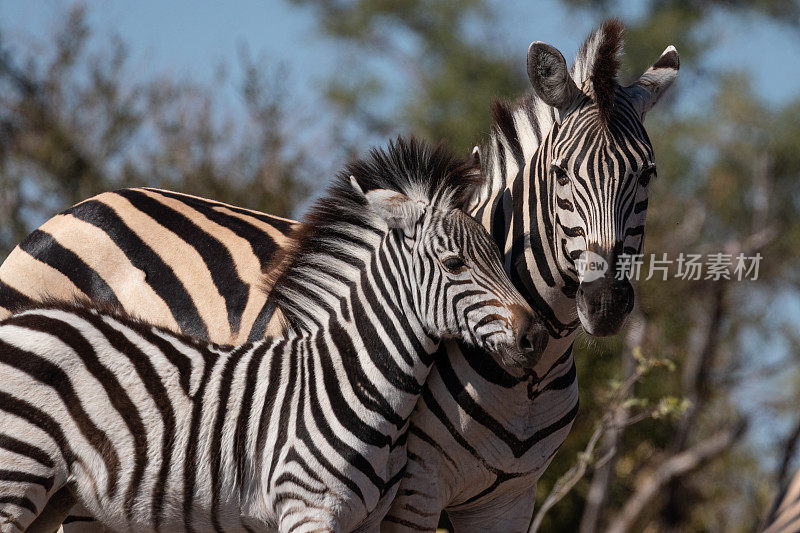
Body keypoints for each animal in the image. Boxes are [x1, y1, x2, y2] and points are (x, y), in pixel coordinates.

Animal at [0, 138, 544, 532]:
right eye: (454, 264)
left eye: (498, 251)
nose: (534, 336)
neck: (349, 383)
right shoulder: (307, 512)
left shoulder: (366, 521)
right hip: (16, 475)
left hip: (56, 494)